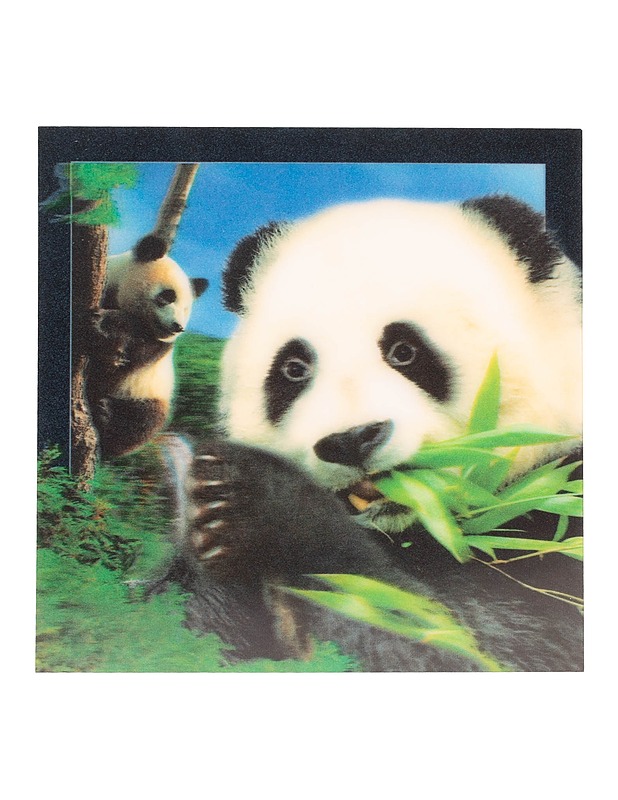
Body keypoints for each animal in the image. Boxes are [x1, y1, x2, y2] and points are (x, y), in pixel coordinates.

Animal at [86, 234, 208, 458]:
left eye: (186, 308)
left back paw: (106, 419)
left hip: (147, 394)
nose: (177, 327)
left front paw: (106, 326)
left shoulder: (158, 346)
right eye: (168, 296)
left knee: (143, 421)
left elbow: (137, 351)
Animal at [163, 196, 583, 671]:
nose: (351, 439)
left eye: (405, 351)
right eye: (294, 368)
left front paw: (256, 505)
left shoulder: (556, 522)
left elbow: (460, 640)